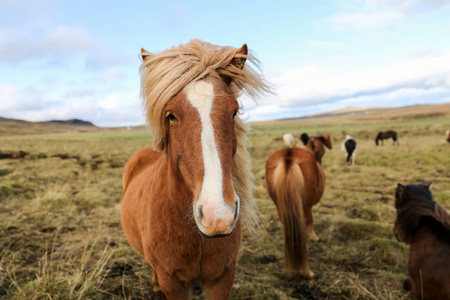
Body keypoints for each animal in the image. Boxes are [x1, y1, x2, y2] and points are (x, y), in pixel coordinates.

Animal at [266, 146, 326, 278]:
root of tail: (289, 156)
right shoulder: (308, 206)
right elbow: (311, 221)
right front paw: (314, 237)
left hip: (280, 206)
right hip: (305, 206)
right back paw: (306, 271)